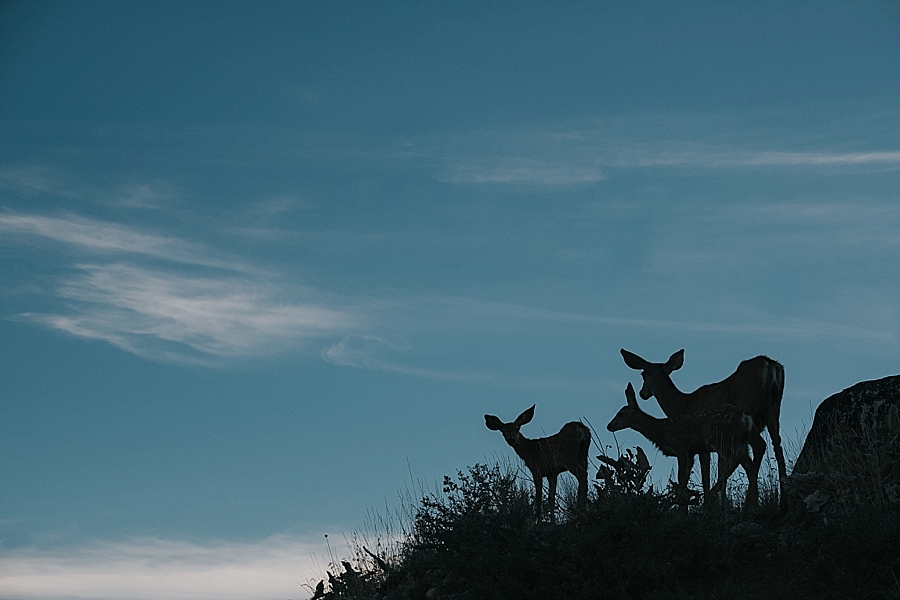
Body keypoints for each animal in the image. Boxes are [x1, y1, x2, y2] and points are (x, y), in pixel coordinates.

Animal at [608, 384, 756, 506]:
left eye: (621, 414)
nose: (609, 426)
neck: (662, 431)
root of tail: (745, 418)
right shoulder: (691, 452)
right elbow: (684, 481)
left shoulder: (682, 447)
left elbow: (681, 479)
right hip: (741, 443)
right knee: (748, 464)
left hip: (721, 440)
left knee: (738, 463)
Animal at [624, 346, 784, 506]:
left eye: (644, 375)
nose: (642, 393)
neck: (683, 405)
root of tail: (770, 364)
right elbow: (720, 468)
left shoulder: (699, 444)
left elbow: (705, 475)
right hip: (774, 413)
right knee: (776, 445)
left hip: (747, 409)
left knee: (759, 446)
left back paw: (747, 503)